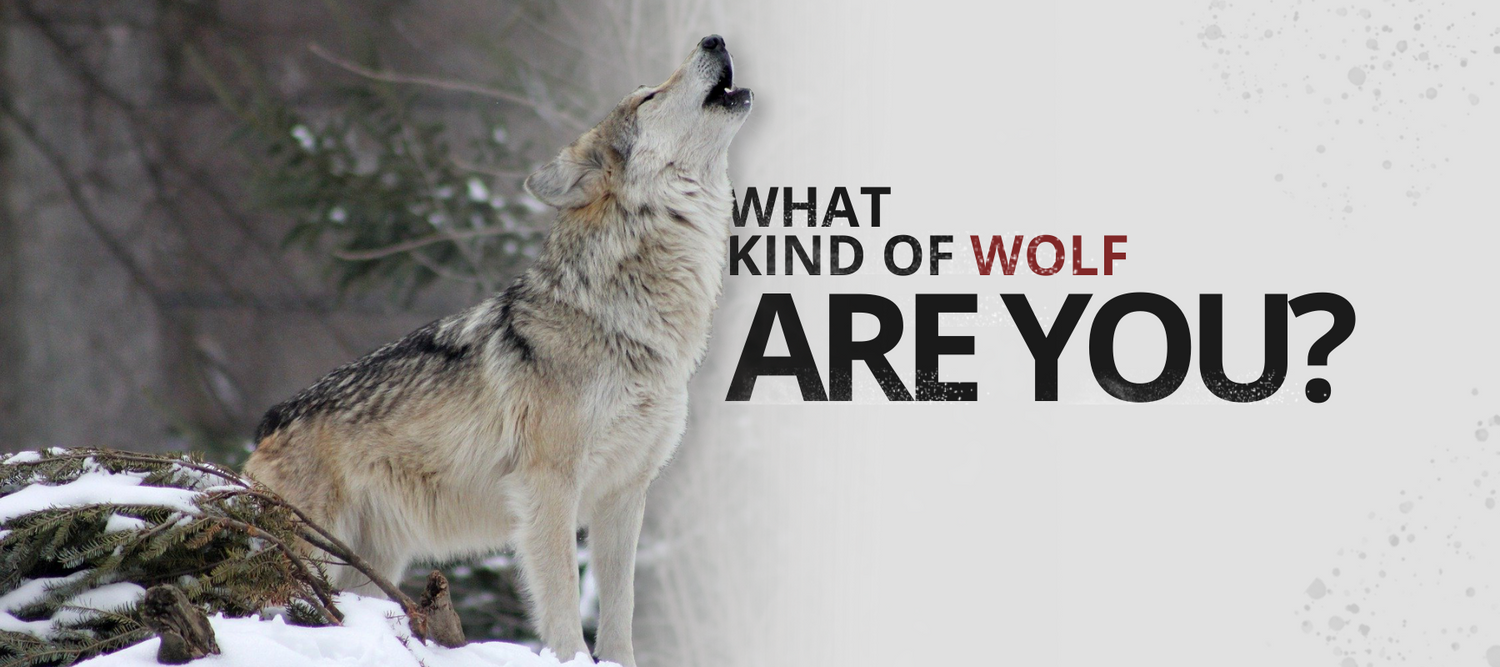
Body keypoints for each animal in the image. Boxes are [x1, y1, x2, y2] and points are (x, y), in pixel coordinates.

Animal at [243, 35, 751, 666]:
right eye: (649, 95)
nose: (714, 38)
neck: (628, 321)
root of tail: (270, 420)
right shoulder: (548, 486)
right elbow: (562, 603)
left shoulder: (625, 493)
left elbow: (621, 613)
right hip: (311, 553)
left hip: (370, 566)